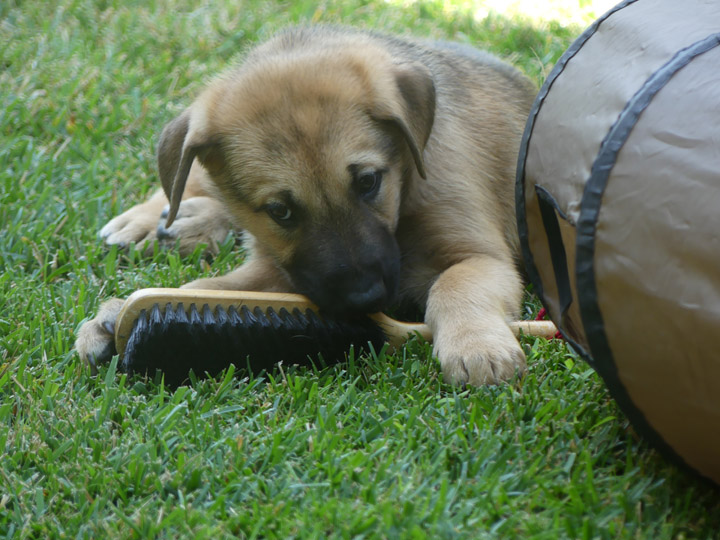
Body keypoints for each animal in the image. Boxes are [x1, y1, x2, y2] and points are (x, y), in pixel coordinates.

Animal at [76, 25, 536, 386]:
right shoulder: (280, 269)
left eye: (368, 182)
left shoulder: (480, 255)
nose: (366, 298)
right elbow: (203, 290)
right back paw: (158, 222)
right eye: (280, 211)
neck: (405, 193)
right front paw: (119, 313)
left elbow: (454, 286)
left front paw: (476, 346)